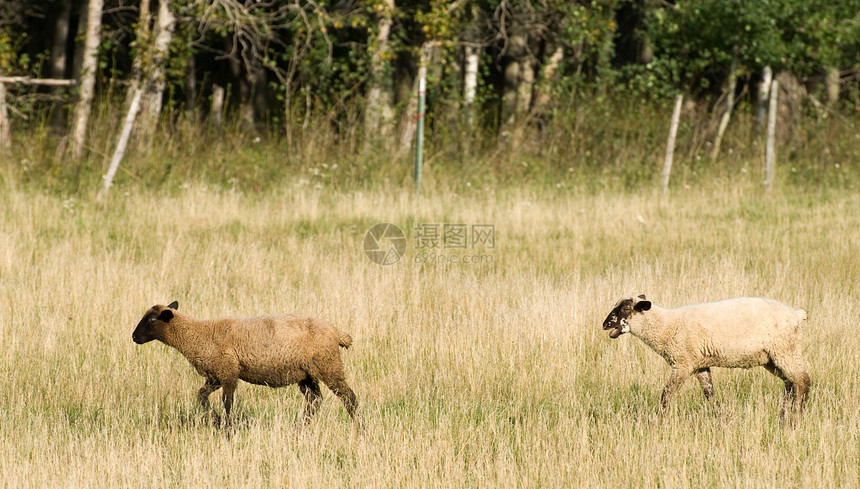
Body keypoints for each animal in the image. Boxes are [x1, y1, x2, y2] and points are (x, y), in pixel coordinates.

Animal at [130, 300, 356, 428]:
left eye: (152, 320)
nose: (133, 337)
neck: (198, 334)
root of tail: (337, 333)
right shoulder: (215, 376)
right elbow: (201, 395)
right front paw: (216, 421)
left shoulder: (228, 372)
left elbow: (227, 402)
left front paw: (228, 429)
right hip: (306, 374)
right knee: (314, 400)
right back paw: (300, 428)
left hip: (329, 366)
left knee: (349, 397)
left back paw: (359, 427)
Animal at [600, 294, 808, 424]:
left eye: (626, 308)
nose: (604, 324)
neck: (668, 326)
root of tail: (797, 314)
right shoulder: (699, 365)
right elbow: (710, 394)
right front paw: (723, 420)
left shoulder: (683, 364)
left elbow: (666, 394)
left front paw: (657, 423)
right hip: (773, 358)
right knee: (790, 384)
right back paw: (783, 418)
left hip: (785, 349)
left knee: (802, 382)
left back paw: (796, 420)